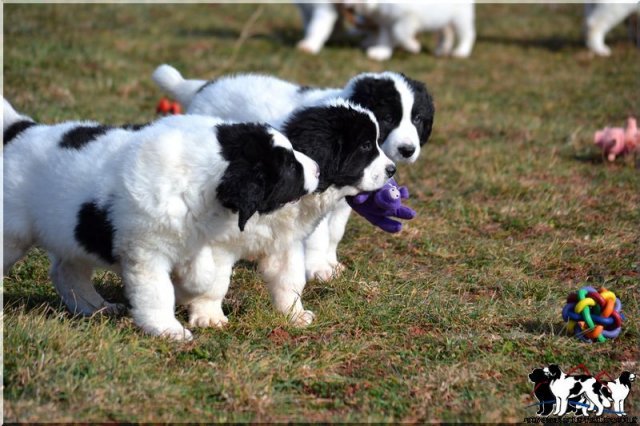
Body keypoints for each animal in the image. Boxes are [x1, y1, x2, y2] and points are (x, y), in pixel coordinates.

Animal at [3, 99, 320, 340]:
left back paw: (95, 307)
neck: (200, 176)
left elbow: (204, 273)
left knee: (66, 271)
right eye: (289, 166)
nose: (317, 169)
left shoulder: (195, 237)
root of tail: (23, 130)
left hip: (73, 234)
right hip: (14, 234)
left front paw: (189, 290)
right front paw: (168, 329)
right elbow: (158, 292)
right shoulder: (146, 253)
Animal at [152, 64, 433, 281]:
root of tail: (203, 87)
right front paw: (319, 269)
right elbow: (318, 234)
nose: (406, 151)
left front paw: (331, 263)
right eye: (388, 118)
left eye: (417, 118)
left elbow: (335, 232)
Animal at [171, 98, 395, 328]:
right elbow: (214, 282)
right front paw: (209, 317)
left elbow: (290, 278)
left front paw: (295, 314)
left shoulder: (283, 240)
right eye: (366, 146)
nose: (392, 170)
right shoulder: (218, 244)